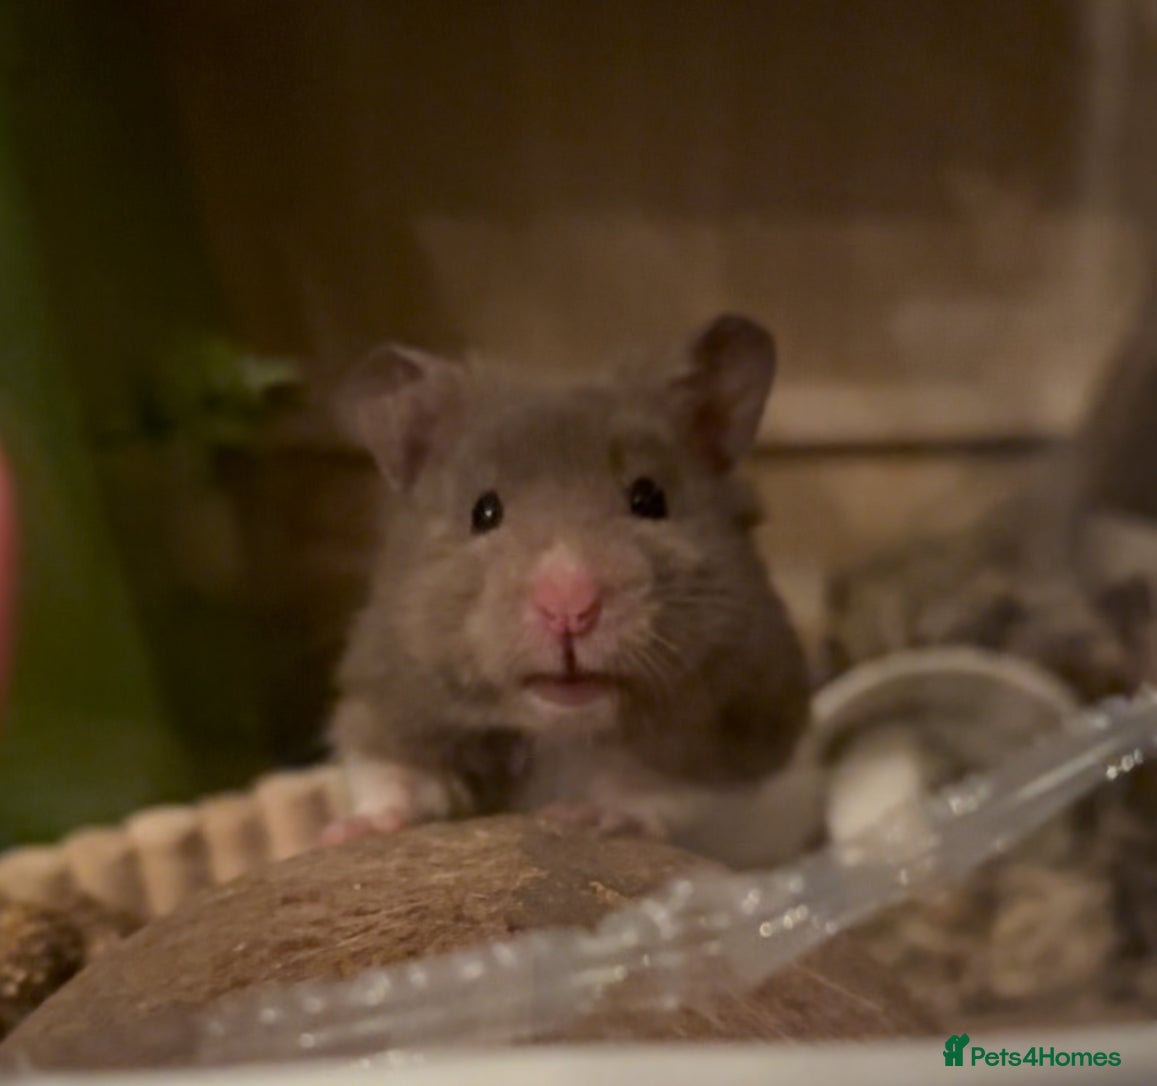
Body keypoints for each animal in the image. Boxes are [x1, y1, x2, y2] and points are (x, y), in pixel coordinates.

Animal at [322, 314, 815, 861]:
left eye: (649, 498)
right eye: (484, 511)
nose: (569, 609)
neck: (562, 730)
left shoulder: (741, 731)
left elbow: (656, 789)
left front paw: (594, 818)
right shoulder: (386, 704)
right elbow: (397, 778)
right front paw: (350, 830)